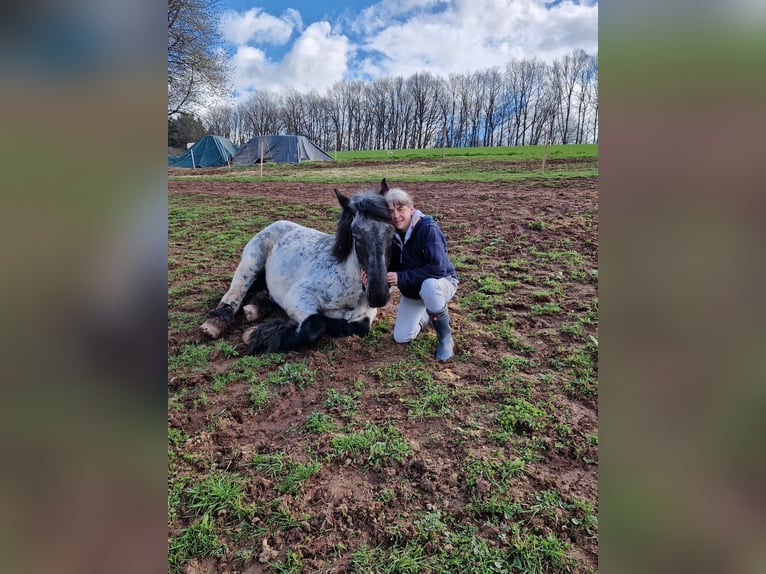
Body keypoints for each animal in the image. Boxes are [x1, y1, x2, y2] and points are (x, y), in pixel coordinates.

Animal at [200, 184, 396, 356]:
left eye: (392, 232)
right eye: (355, 234)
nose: (378, 295)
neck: (348, 281)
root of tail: (277, 223)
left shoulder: (367, 313)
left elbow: (359, 326)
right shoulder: (298, 295)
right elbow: (316, 324)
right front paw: (254, 335)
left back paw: (254, 309)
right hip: (251, 262)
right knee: (234, 294)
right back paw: (215, 324)